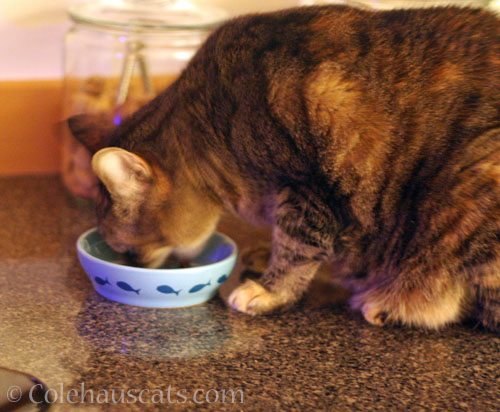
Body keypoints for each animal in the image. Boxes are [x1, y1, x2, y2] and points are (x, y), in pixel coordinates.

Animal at [68, 4, 500, 330]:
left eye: (129, 251)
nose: (130, 265)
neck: (208, 129)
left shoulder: (309, 188)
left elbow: (297, 248)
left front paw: (269, 289)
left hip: (471, 186)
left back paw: (393, 303)